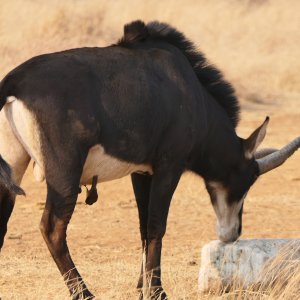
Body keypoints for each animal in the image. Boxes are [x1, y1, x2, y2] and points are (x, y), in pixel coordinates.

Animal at [0, 19, 298, 298]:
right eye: (247, 179)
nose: (232, 233)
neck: (192, 92)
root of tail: (14, 82)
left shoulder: (141, 172)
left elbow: (143, 228)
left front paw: (140, 285)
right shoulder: (169, 166)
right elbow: (156, 227)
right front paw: (156, 291)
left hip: (14, 167)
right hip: (64, 175)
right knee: (52, 228)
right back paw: (84, 292)